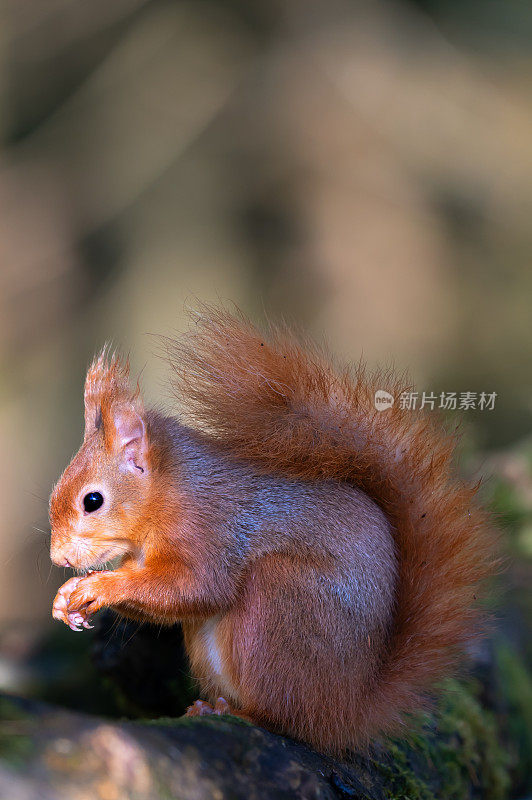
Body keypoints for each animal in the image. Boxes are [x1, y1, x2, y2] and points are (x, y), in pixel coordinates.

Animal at [48, 308, 494, 756]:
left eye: (92, 501)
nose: (58, 557)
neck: (165, 495)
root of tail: (350, 708)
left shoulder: (210, 529)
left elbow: (195, 587)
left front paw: (99, 587)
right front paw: (66, 598)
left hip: (278, 609)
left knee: (286, 718)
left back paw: (238, 713)